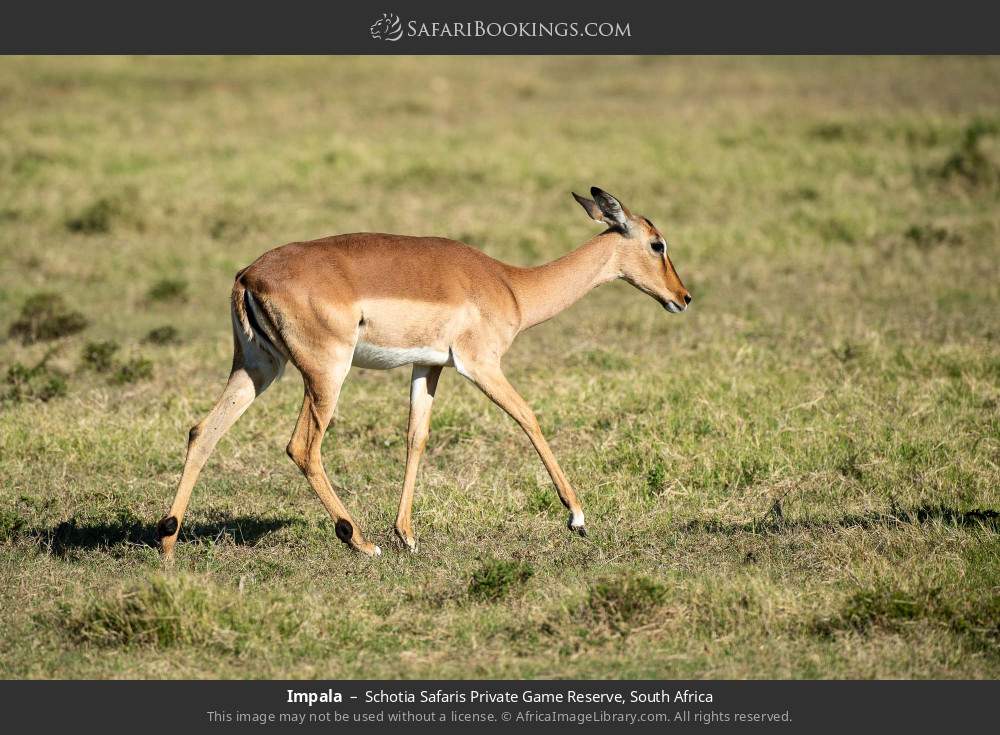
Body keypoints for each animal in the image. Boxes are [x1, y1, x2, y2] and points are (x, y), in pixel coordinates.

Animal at [157, 187, 691, 559]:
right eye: (657, 243)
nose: (683, 297)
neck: (511, 286)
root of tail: (248, 274)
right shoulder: (481, 365)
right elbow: (529, 418)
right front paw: (577, 517)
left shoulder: (428, 366)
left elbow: (416, 436)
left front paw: (408, 536)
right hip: (326, 374)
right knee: (302, 446)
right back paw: (359, 541)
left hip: (257, 368)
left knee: (203, 430)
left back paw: (167, 541)